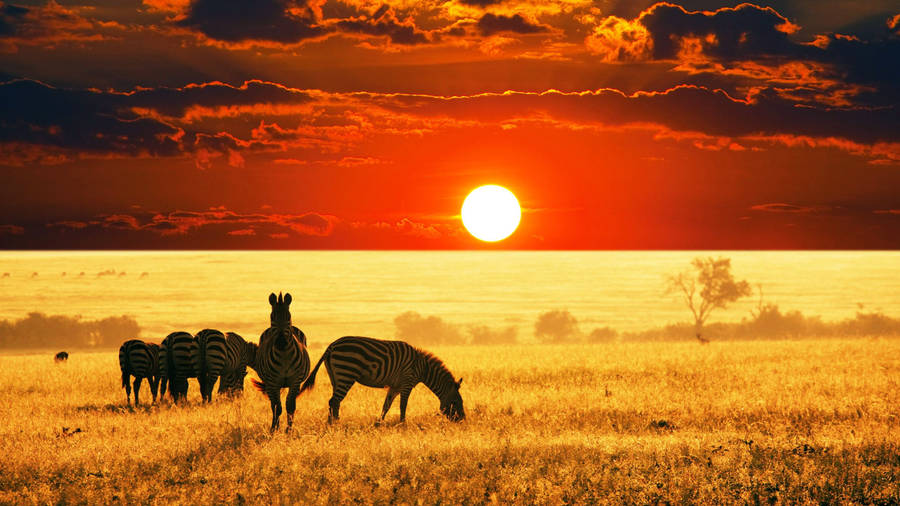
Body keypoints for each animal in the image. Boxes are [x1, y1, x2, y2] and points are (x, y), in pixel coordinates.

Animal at [252, 292, 311, 433]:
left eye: (288, 316)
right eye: (272, 317)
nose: (281, 342)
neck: (284, 355)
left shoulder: (295, 381)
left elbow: (290, 406)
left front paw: (289, 430)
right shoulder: (273, 382)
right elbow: (277, 408)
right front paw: (274, 429)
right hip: (270, 384)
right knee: (273, 405)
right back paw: (274, 425)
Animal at [299, 336, 465, 424]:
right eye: (456, 402)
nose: (463, 420)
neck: (423, 367)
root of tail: (332, 345)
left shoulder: (395, 386)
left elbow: (387, 405)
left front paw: (379, 423)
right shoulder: (407, 382)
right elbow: (403, 406)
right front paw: (403, 424)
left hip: (335, 376)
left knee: (334, 401)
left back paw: (334, 423)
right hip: (346, 373)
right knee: (334, 401)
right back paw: (334, 424)